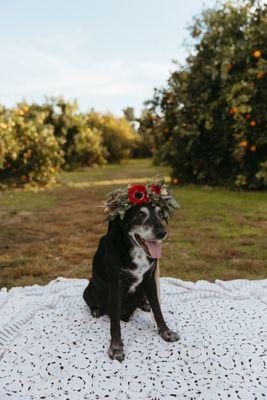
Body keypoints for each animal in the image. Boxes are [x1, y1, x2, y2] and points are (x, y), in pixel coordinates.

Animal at [84, 203, 180, 362]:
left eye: (160, 214)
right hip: (89, 288)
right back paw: (96, 310)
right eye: (140, 214)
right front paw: (116, 348)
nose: (162, 233)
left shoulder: (150, 279)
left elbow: (157, 309)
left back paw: (144, 304)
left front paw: (166, 332)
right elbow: (115, 322)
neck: (136, 251)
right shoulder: (116, 285)